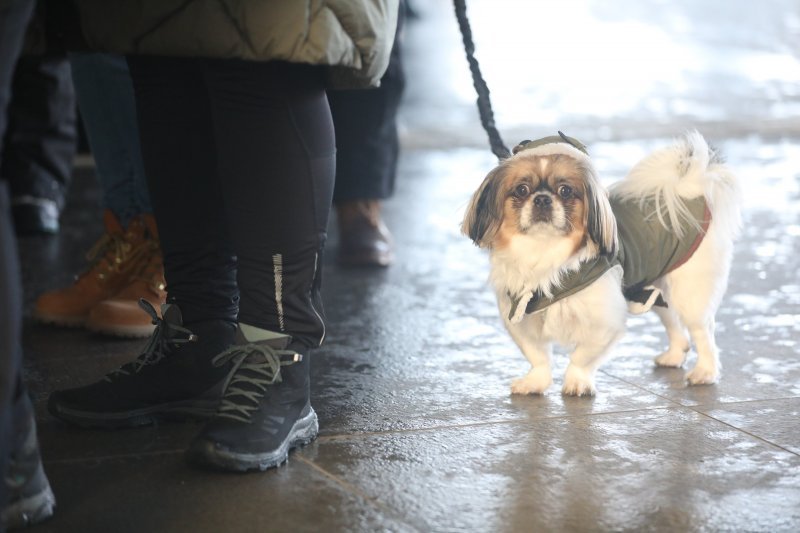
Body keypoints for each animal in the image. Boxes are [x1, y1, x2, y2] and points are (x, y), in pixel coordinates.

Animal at [462, 130, 744, 392]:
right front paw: (535, 383)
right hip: (654, 285)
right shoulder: (522, 317)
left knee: (702, 331)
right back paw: (674, 356)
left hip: (690, 292)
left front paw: (577, 383)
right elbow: (538, 357)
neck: (544, 254)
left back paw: (705, 372)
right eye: (521, 190)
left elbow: (581, 358)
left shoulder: (604, 323)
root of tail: (690, 189)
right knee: (672, 321)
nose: (542, 198)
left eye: (565, 191)